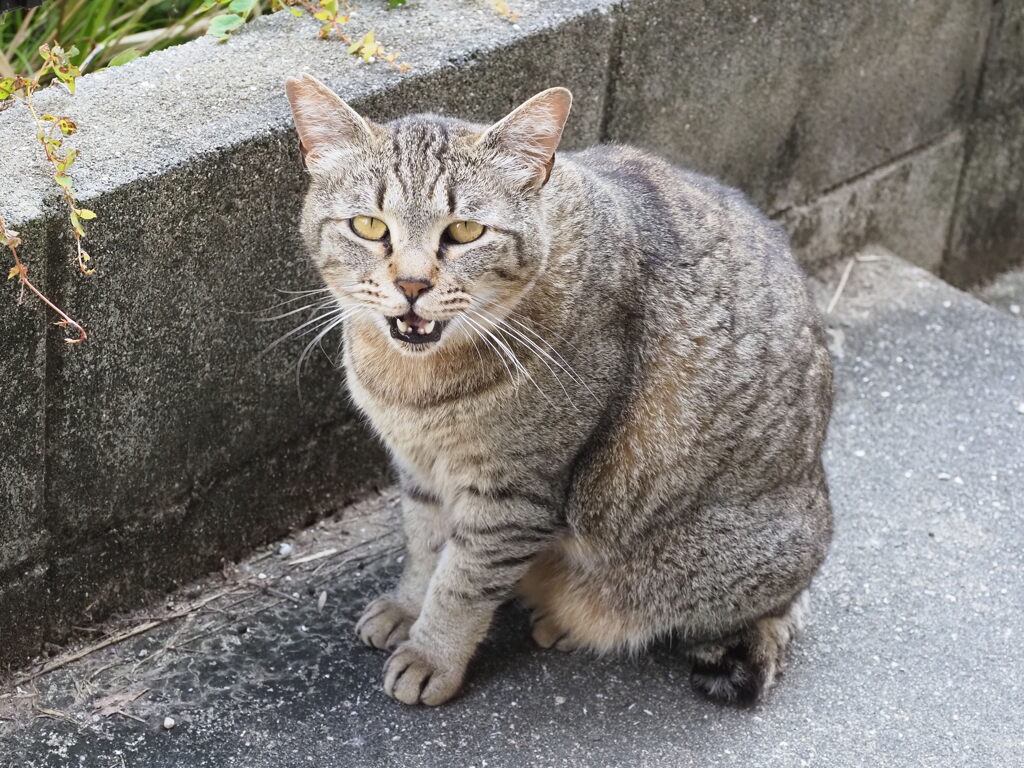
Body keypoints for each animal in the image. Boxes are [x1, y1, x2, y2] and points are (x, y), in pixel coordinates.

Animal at [284, 75, 835, 708]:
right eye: (370, 226)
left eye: (465, 231)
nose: (413, 284)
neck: (412, 386)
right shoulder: (418, 469)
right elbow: (425, 548)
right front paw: (406, 605)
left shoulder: (512, 496)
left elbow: (460, 583)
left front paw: (431, 655)